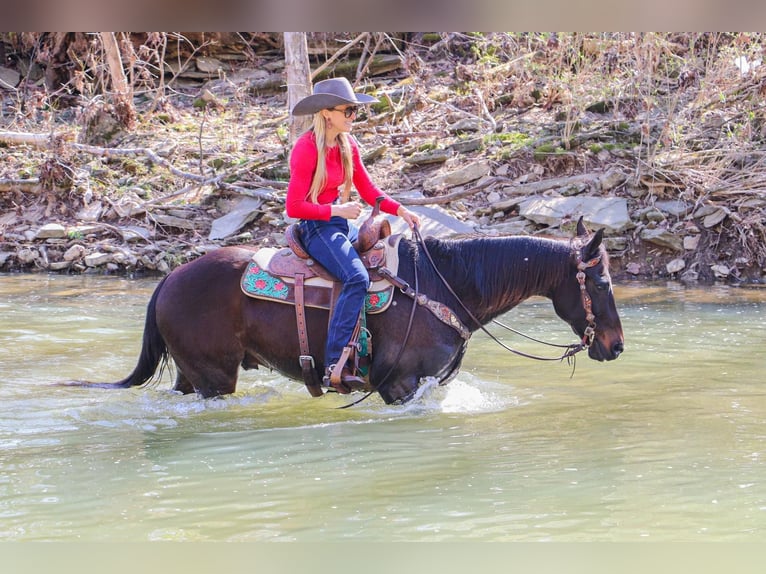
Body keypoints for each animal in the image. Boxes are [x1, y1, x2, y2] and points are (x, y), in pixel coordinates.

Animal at [70, 219, 624, 404]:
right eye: (600, 281)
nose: (616, 346)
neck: (447, 285)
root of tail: (169, 279)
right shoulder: (400, 386)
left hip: (193, 375)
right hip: (213, 378)